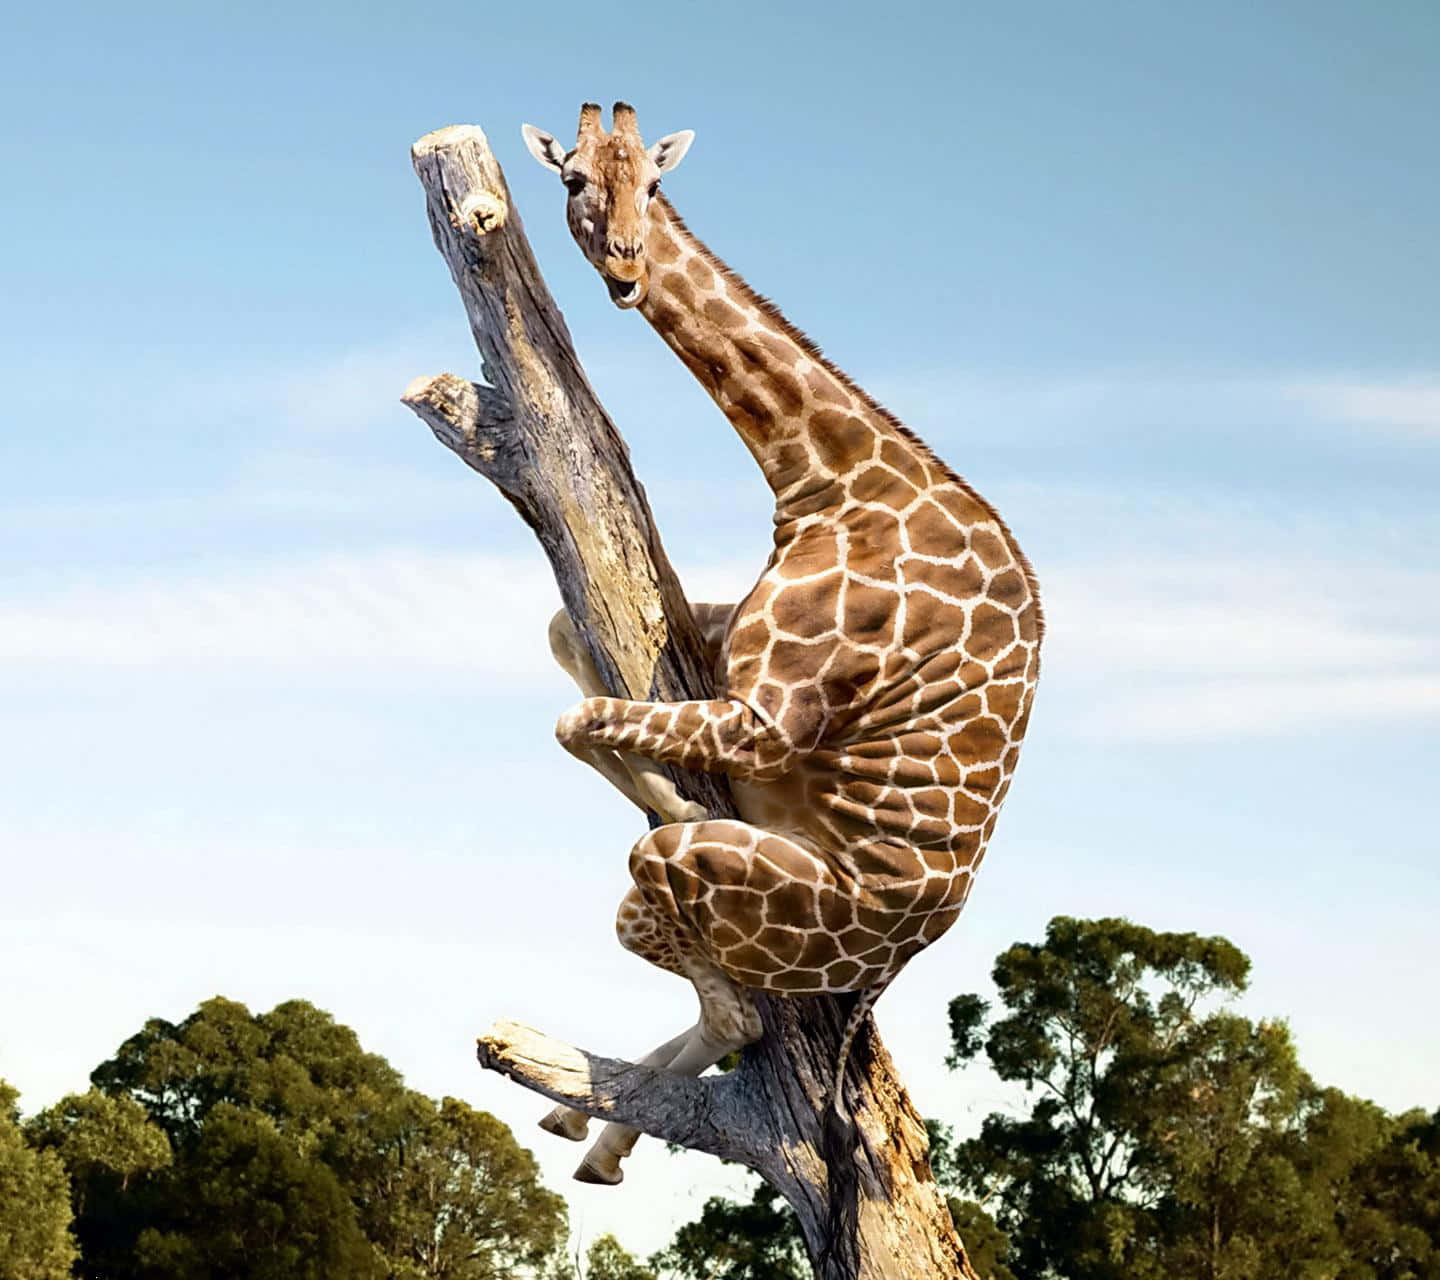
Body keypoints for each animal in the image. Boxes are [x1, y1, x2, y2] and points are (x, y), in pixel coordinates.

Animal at [521, 102, 1043, 1186]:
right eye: (574, 179)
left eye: (653, 186)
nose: (627, 269)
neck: (828, 476)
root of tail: (895, 959)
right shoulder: (719, 651)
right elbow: (565, 644)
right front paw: (658, 775)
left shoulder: (768, 719)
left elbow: (578, 716)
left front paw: (674, 789)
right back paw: (587, 1133)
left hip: (714, 887)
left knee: (731, 1005)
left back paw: (597, 1132)